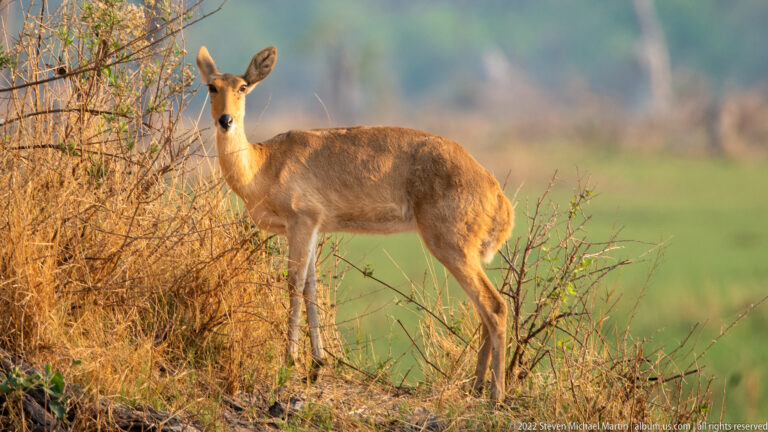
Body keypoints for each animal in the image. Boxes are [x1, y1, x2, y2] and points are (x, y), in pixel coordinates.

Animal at [196, 45, 514, 403]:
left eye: (242, 87)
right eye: (212, 86)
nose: (225, 120)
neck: (264, 164)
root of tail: (496, 191)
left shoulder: (301, 223)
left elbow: (294, 283)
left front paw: (290, 360)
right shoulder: (314, 228)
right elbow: (311, 286)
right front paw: (317, 364)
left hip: (451, 247)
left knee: (495, 307)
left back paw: (496, 394)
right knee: (484, 310)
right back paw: (477, 386)